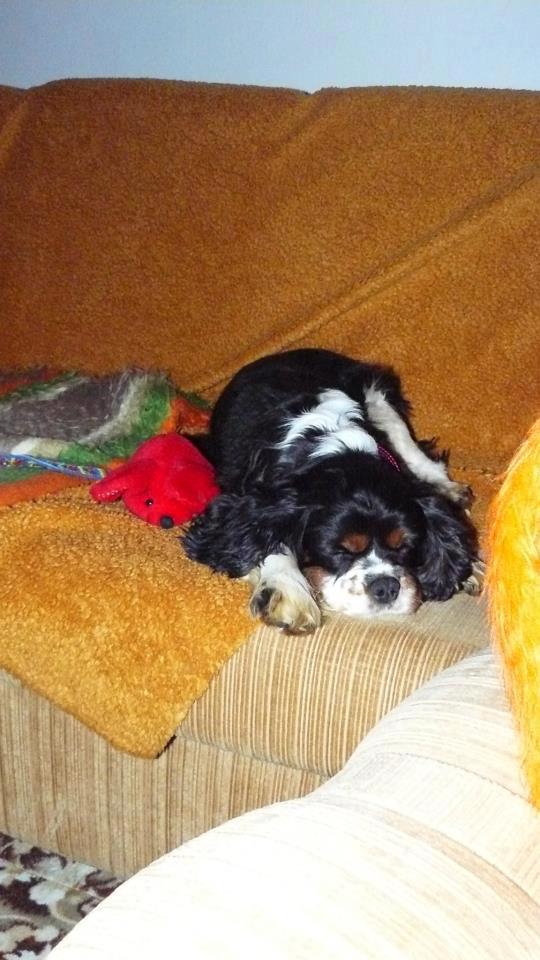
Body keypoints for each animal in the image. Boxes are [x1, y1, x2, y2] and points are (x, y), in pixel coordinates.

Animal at [184, 348, 480, 633]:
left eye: (404, 546)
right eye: (339, 551)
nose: (386, 587)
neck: (335, 446)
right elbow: (264, 538)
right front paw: (287, 589)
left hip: (377, 392)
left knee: (408, 442)